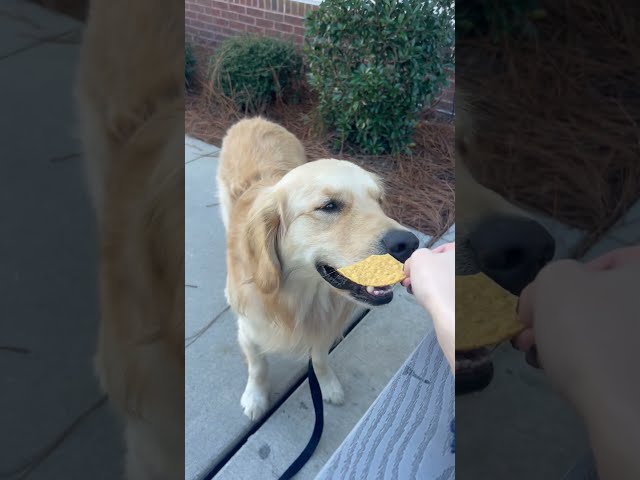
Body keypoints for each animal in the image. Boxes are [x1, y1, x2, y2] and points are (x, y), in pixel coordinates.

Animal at [220, 117, 420, 420]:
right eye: (329, 206)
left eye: (379, 201)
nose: (409, 243)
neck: (301, 299)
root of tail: (255, 119)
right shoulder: (249, 330)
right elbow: (258, 367)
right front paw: (255, 397)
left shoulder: (323, 331)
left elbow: (320, 359)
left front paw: (327, 385)